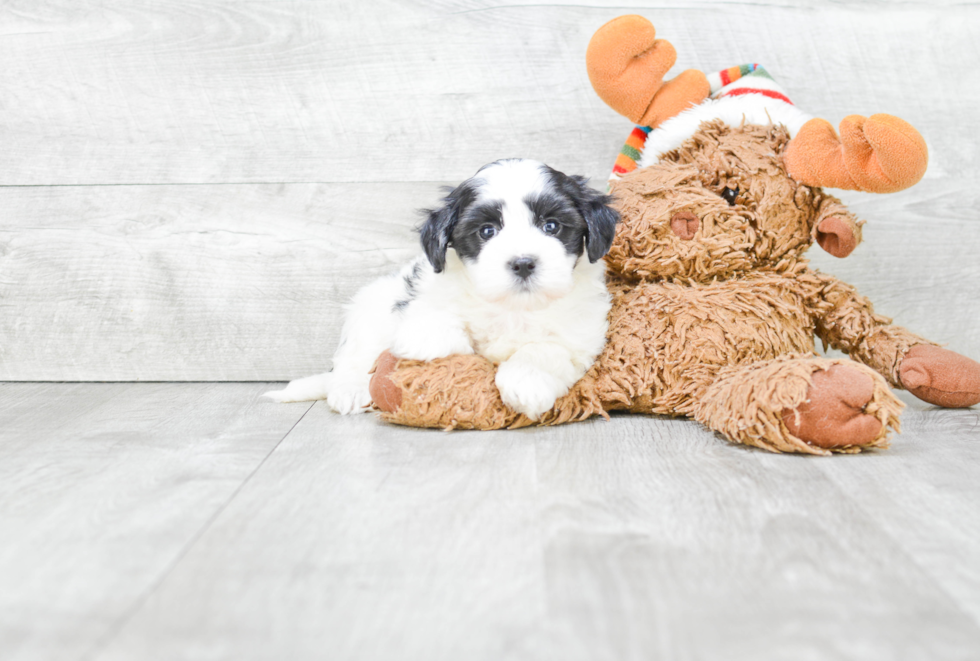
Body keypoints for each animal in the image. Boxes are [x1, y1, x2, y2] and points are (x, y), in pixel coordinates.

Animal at [266, 159, 620, 418]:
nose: (522, 263)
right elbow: (433, 321)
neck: (513, 307)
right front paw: (431, 342)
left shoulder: (579, 335)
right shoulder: (422, 293)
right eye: (487, 231)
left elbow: (544, 350)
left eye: (552, 226)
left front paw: (525, 384)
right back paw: (350, 390)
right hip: (371, 306)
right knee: (354, 355)